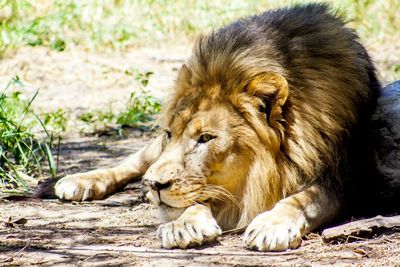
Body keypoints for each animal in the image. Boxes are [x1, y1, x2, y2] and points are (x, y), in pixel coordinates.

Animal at [54, 3, 382, 252]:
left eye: (205, 138)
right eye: (169, 134)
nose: (154, 186)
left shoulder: (345, 179)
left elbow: (304, 199)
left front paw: (271, 224)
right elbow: (200, 196)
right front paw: (183, 224)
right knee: (136, 160)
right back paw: (82, 181)